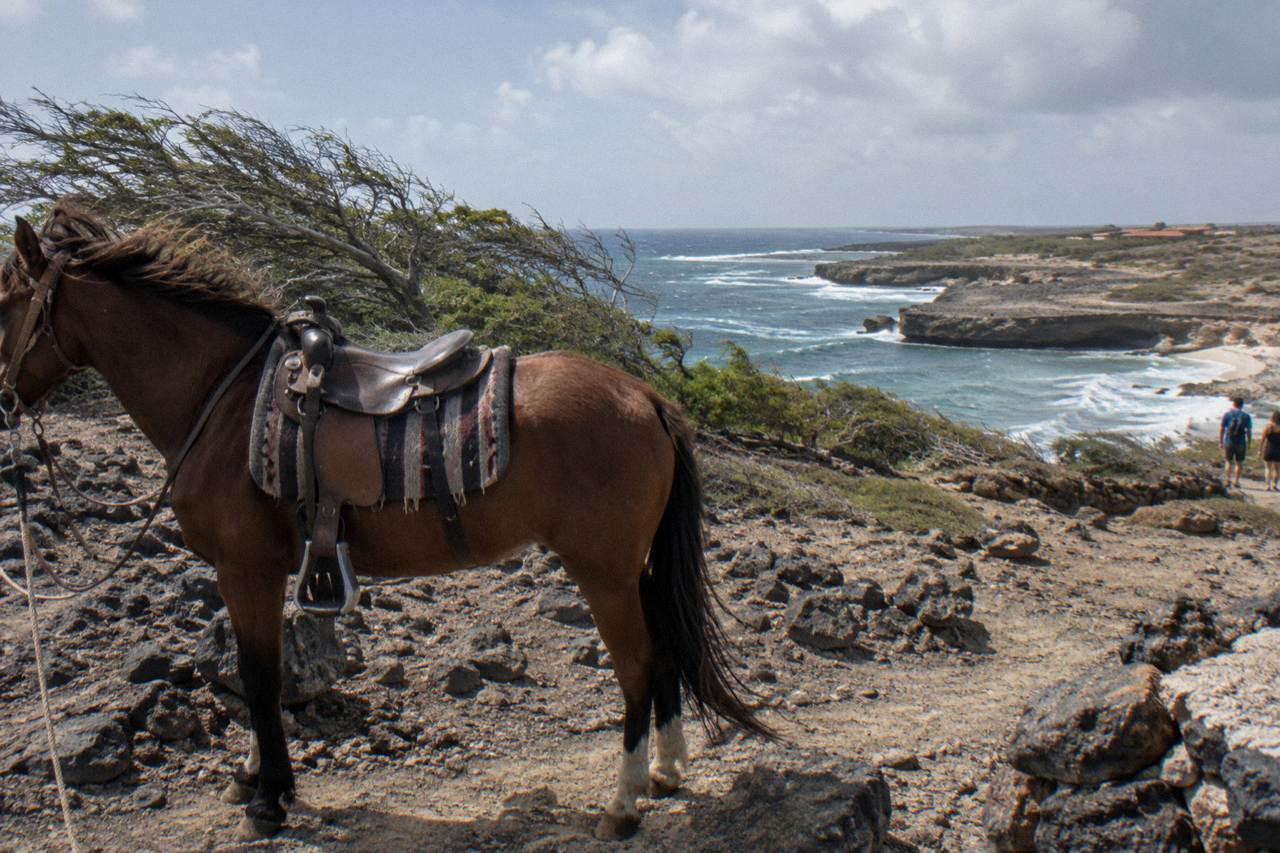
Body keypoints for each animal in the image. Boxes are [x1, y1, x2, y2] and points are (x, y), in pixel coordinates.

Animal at [0, 203, 770, 841]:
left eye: (6, 302)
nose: (5, 399)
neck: (223, 401)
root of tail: (646, 397)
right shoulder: (261, 571)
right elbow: (261, 674)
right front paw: (255, 774)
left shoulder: (245, 567)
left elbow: (256, 676)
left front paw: (270, 798)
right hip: (632, 566)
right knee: (665, 652)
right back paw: (666, 771)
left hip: (602, 569)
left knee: (637, 663)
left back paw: (624, 801)